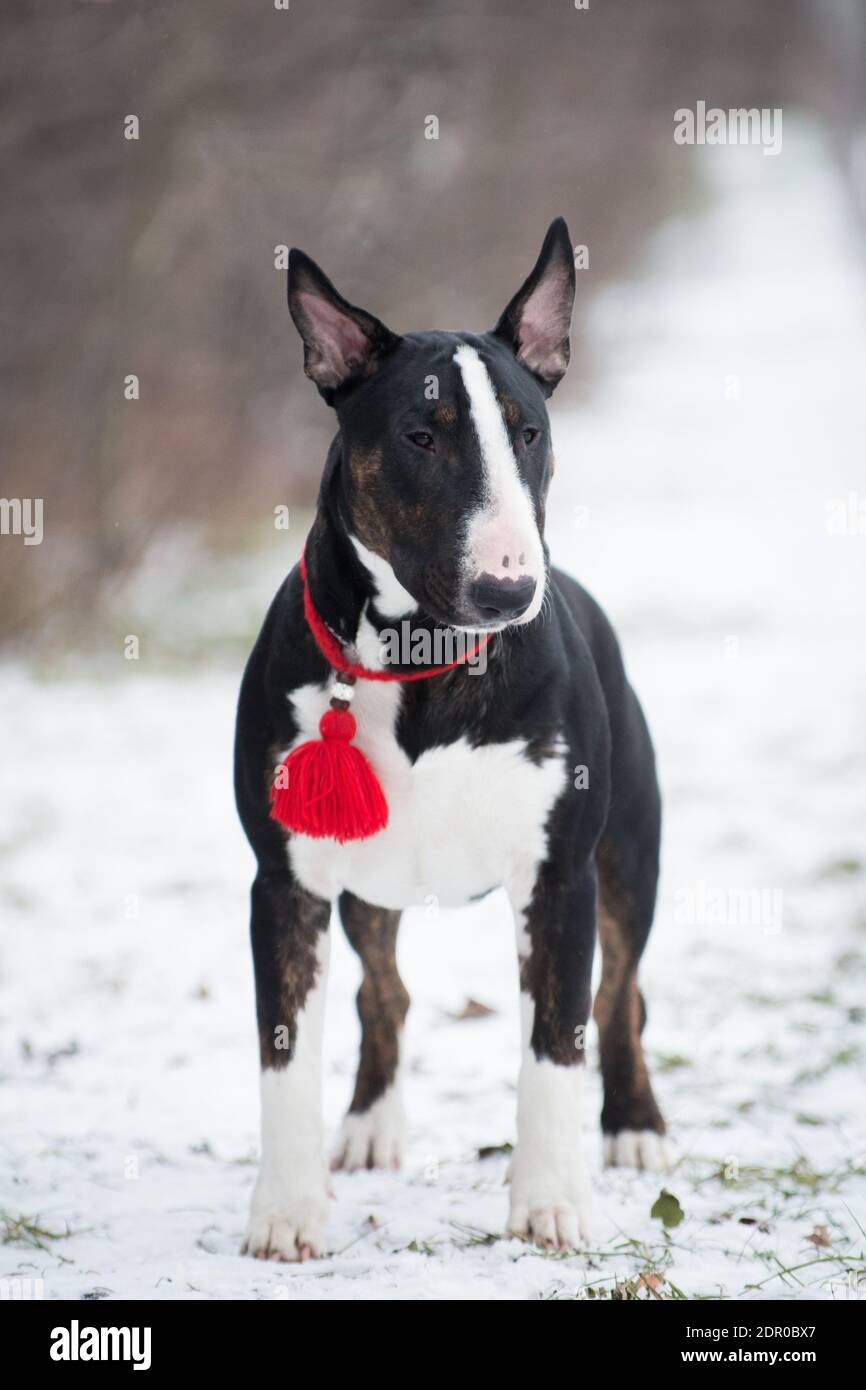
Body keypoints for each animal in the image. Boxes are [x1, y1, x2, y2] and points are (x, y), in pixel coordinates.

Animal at [233, 216, 667, 1262]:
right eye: (420, 437)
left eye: (530, 431)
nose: (510, 591)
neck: (421, 665)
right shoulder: (285, 882)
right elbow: (284, 1056)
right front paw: (286, 1215)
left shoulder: (559, 877)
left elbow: (556, 1044)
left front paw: (549, 1205)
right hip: (367, 885)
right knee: (383, 992)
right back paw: (369, 1127)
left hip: (629, 855)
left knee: (621, 994)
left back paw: (635, 1126)